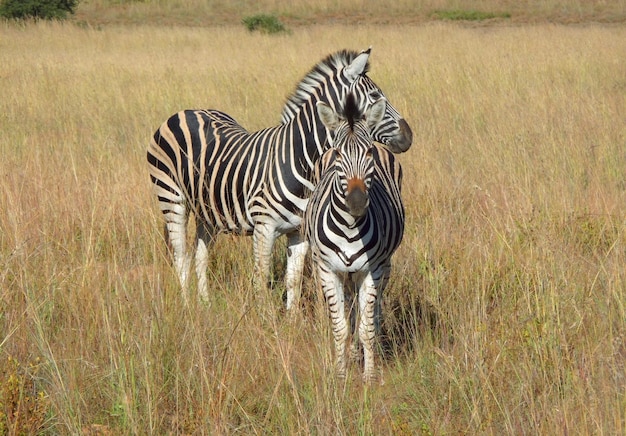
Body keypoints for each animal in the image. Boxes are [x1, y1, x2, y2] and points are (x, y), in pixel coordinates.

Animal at [146, 46, 410, 306]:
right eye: (375, 96)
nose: (409, 136)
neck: (302, 161)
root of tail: (186, 111)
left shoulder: (299, 233)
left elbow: (293, 280)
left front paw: (292, 318)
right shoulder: (264, 228)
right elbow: (260, 280)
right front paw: (264, 317)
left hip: (208, 209)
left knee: (201, 254)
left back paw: (204, 304)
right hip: (172, 198)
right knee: (181, 256)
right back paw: (188, 306)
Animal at [304, 91, 404, 382]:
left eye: (368, 152)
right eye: (339, 154)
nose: (357, 202)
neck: (350, 227)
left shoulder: (372, 269)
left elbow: (366, 328)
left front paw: (369, 375)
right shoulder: (327, 270)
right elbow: (340, 326)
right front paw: (340, 374)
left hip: (385, 264)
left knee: (374, 310)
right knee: (349, 309)